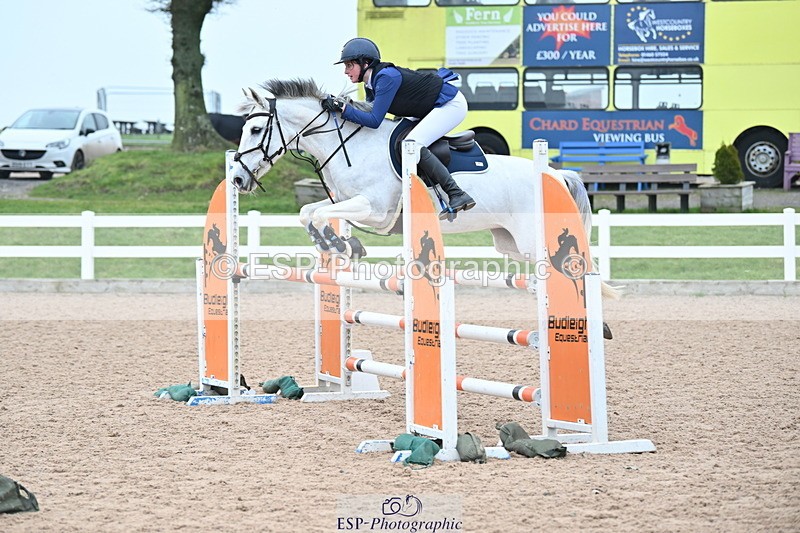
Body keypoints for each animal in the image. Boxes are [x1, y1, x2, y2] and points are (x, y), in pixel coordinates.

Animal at [231, 79, 616, 298]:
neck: (350, 146)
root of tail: (556, 174)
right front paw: (337, 244)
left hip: (533, 241)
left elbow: (321, 212)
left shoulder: (375, 210)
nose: (237, 179)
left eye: (255, 130)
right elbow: (308, 212)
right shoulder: (348, 204)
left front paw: (340, 244)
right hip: (512, 244)